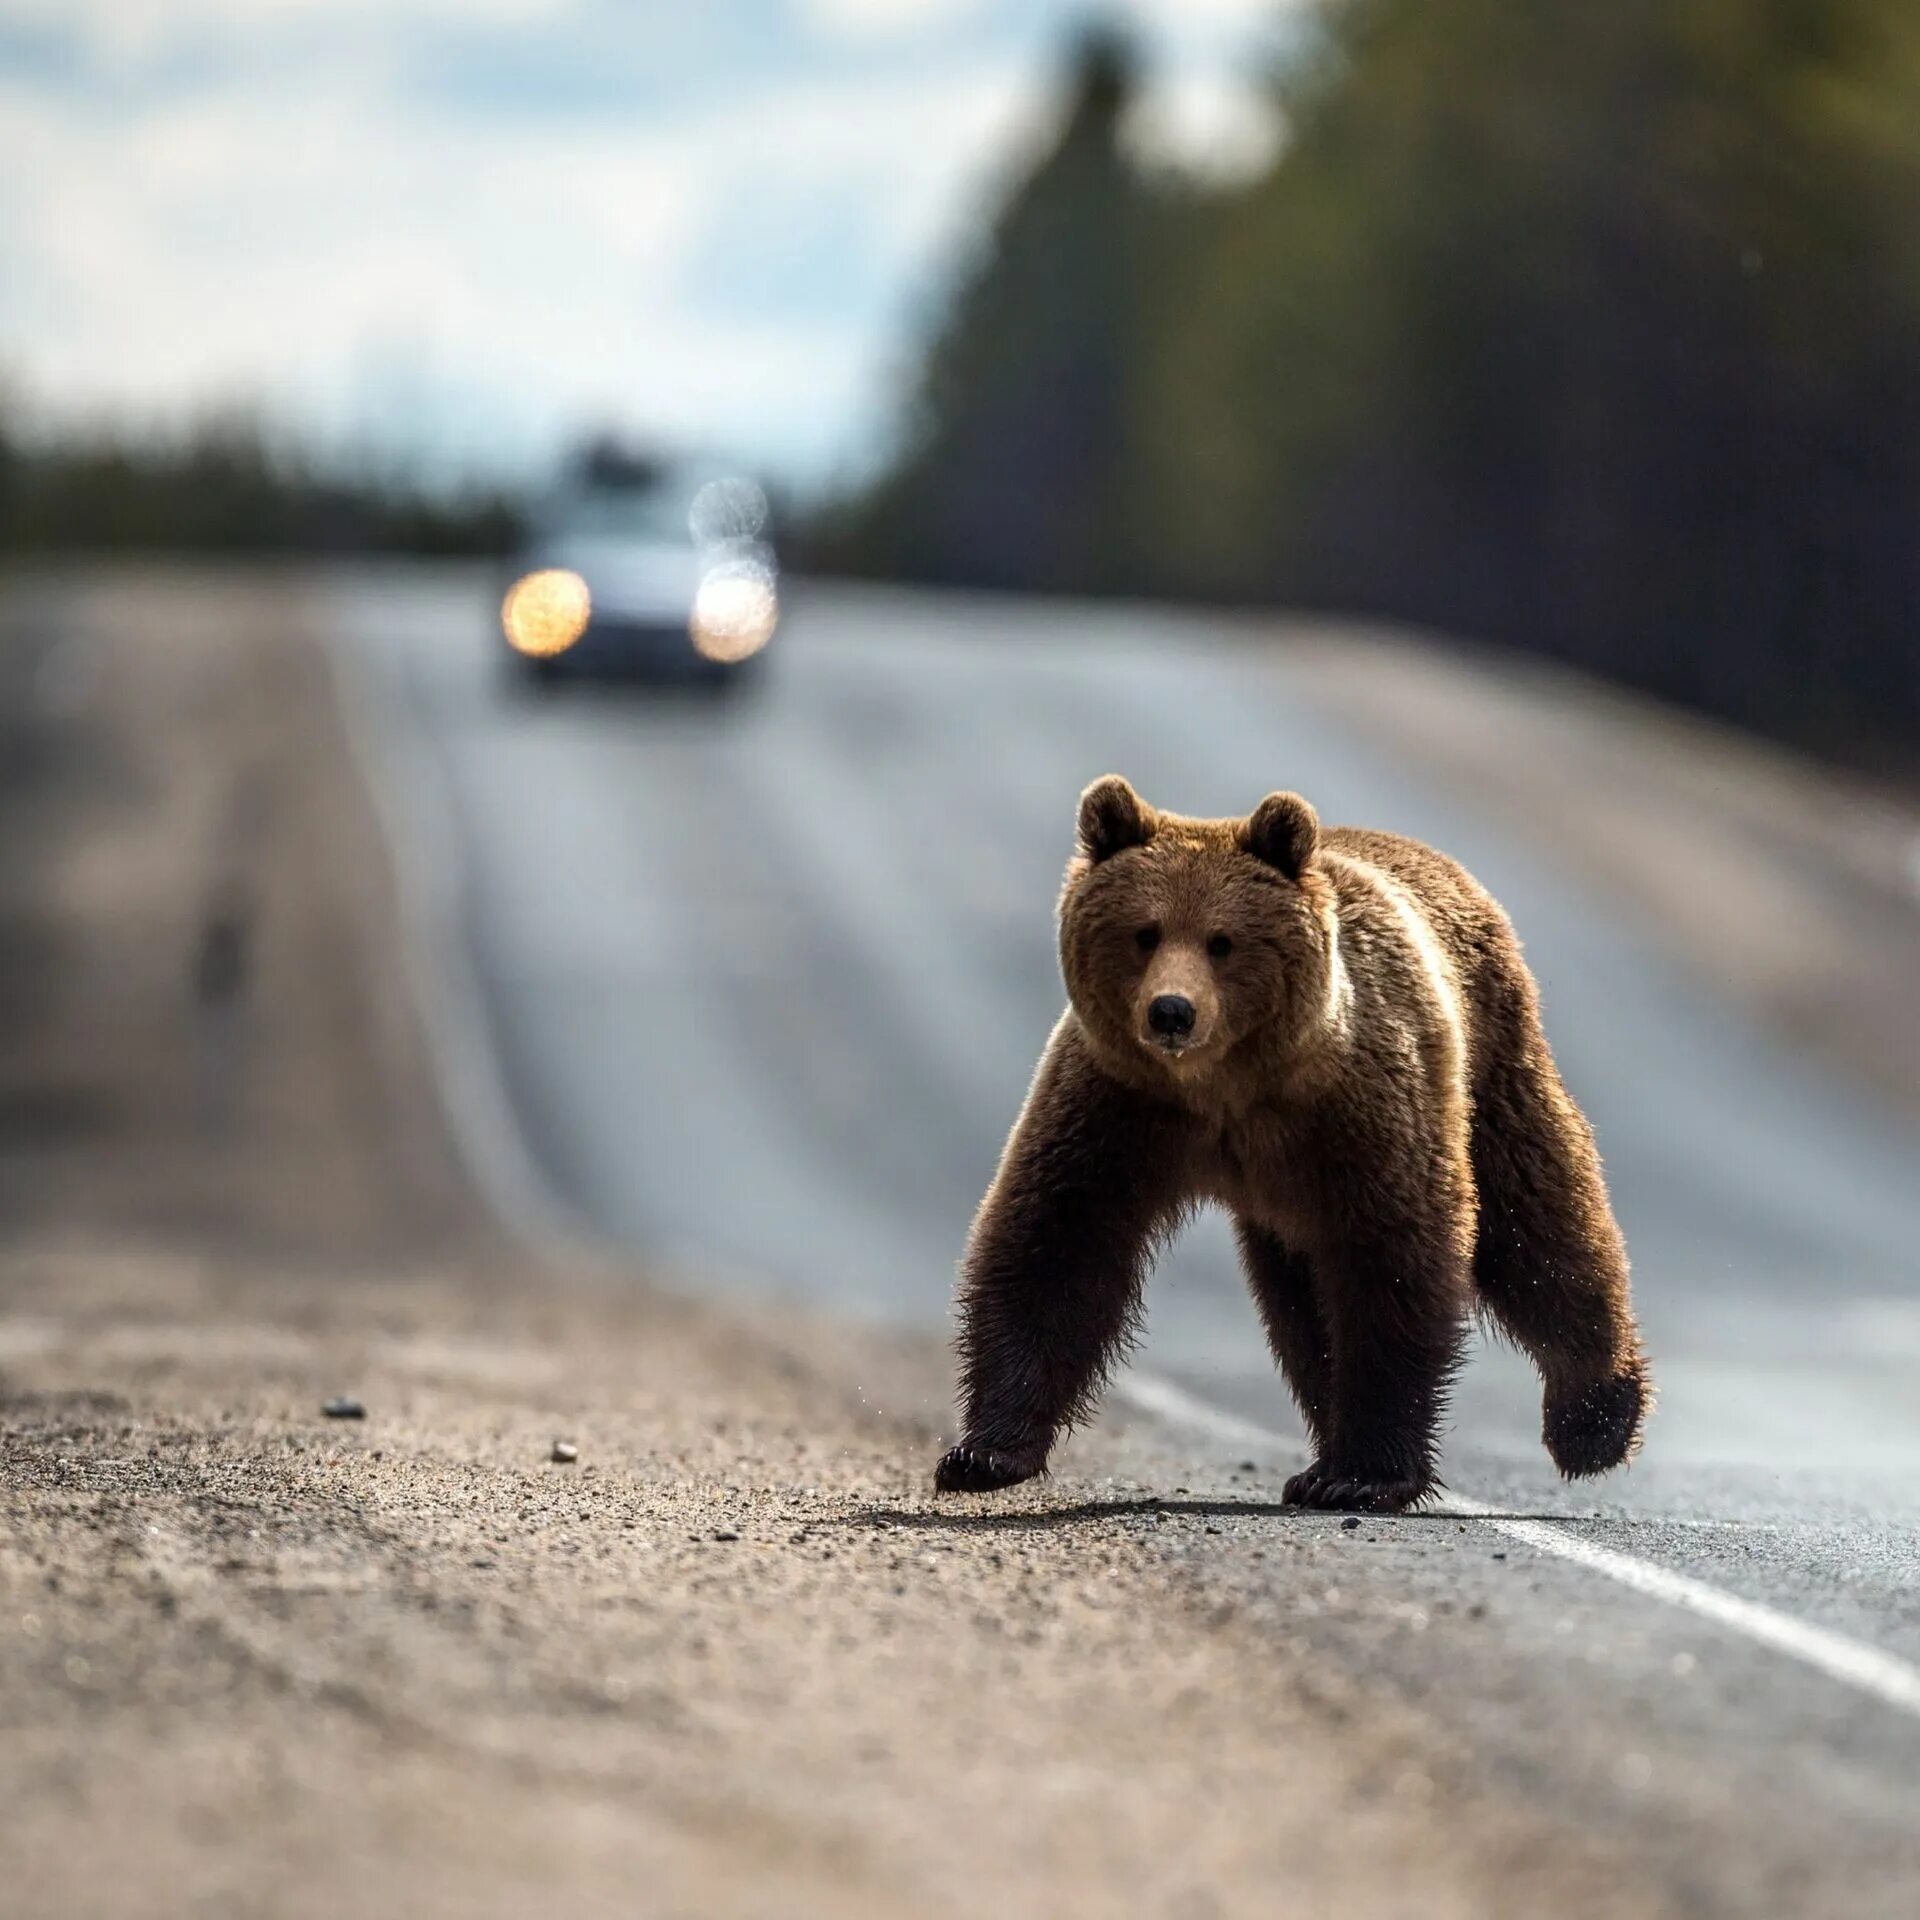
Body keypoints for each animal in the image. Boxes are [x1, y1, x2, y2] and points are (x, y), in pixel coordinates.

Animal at [933, 779, 1651, 1512]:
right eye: (1144, 932)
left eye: (1222, 941)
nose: (1171, 1012)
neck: (1227, 1086)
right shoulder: (1121, 1103)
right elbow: (1058, 1241)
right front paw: (983, 1453)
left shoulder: (1358, 1110)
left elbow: (1394, 1261)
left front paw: (1367, 1473)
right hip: (1290, 1203)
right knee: (1302, 1304)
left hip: (1488, 1064)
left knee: (1540, 1222)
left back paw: (1595, 1421)